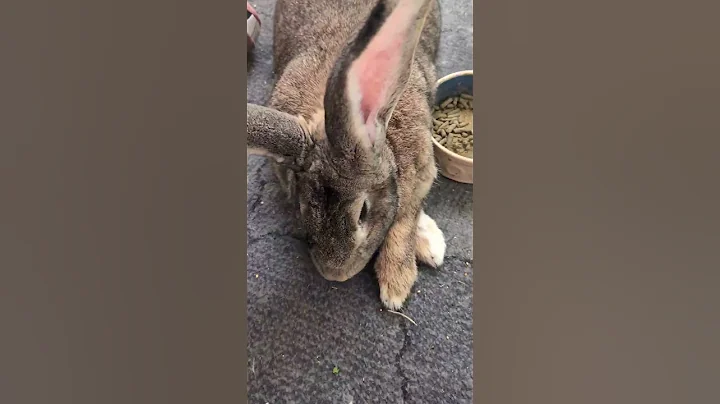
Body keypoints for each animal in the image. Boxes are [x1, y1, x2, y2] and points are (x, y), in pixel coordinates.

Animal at [247, 0, 446, 310]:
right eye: (302, 208)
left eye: (363, 211)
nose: (336, 274)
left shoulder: (422, 171)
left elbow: (405, 219)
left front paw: (396, 284)